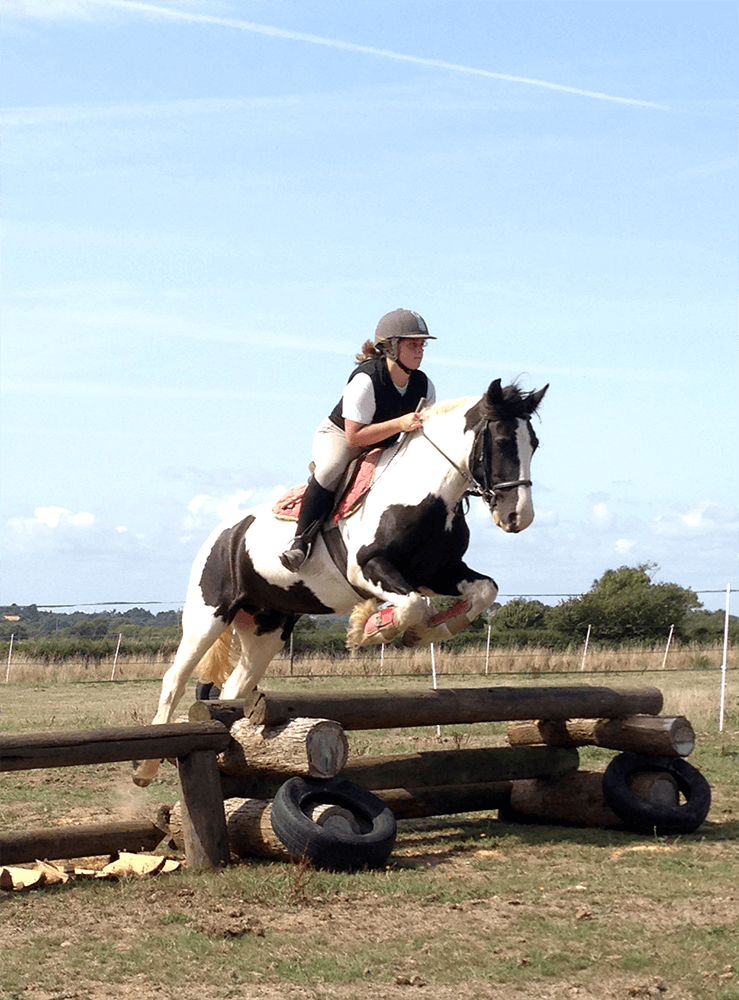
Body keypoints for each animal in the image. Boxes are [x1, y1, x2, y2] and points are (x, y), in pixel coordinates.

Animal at [133, 378, 548, 784]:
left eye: (534, 444)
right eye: (501, 442)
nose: (518, 517)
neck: (426, 492)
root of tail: (225, 533)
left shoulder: (439, 571)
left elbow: (483, 591)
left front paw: (426, 632)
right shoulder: (367, 568)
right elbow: (414, 603)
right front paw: (372, 628)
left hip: (267, 627)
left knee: (236, 686)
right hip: (208, 613)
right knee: (174, 679)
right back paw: (146, 767)